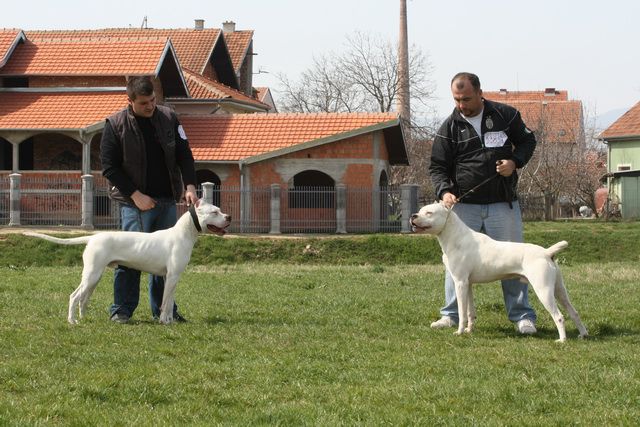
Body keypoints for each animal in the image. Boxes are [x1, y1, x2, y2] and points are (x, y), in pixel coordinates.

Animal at [23, 201, 231, 324]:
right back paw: (72, 321)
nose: (228, 217)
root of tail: (92, 237)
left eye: (220, 210)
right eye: (215, 212)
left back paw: (83, 318)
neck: (184, 233)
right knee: (74, 296)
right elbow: (165, 303)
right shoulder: (171, 277)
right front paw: (164, 322)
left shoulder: (172, 278)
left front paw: (171, 320)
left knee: (83, 299)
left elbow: (169, 301)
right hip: (91, 275)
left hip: (94, 278)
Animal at [412, 201, 588, 344]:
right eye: (420, 211)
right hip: (559, 290)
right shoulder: (468, 285)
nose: (413, 215)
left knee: (559, 316)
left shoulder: (460, 283)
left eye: (429, 213)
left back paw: (562, 340)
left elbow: (462, 313)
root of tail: (546, 252)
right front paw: (469, 330)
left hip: (543, 291)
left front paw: (460, 332)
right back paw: (583, 334)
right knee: (574, 312)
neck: (457, 237)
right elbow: (470, 312)